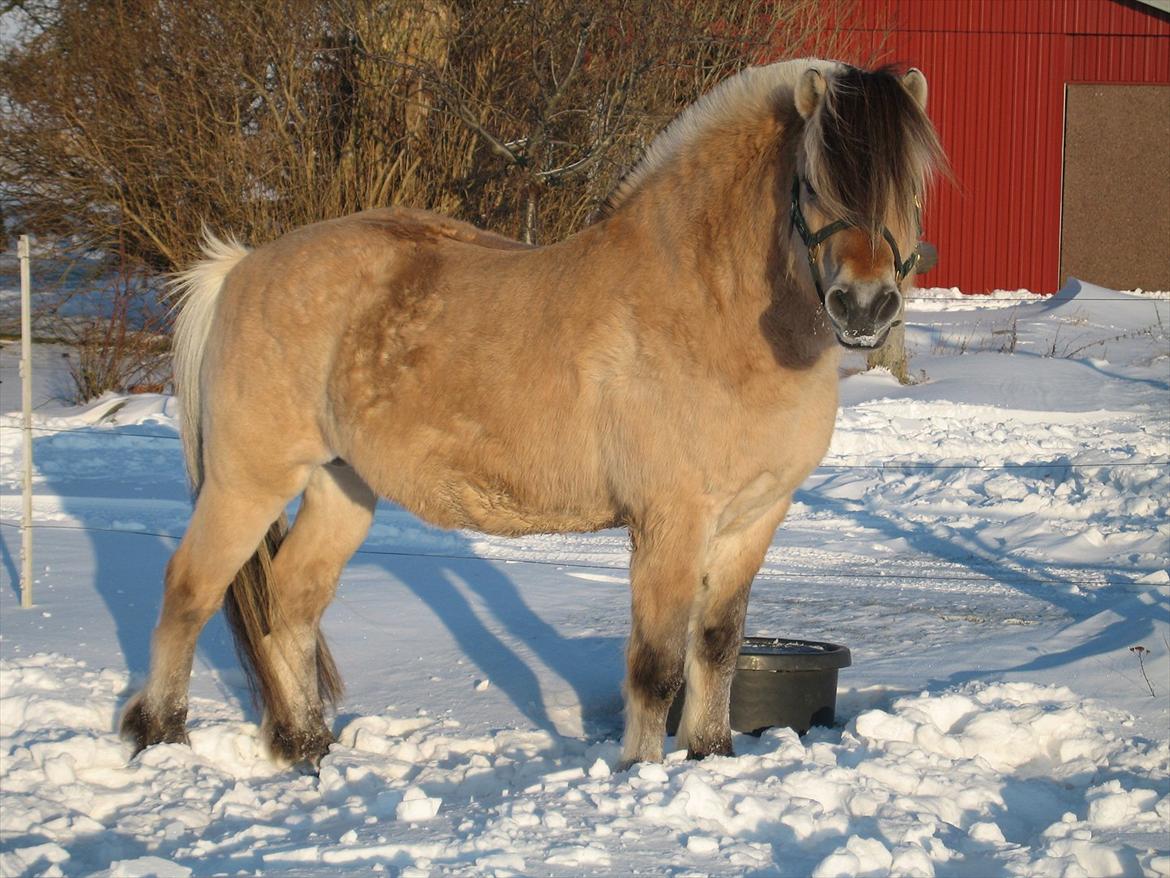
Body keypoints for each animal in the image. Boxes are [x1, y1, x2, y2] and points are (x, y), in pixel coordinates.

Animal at [121, 58, 940, 767]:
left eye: (913, 185)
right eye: (812, 182)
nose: (864, 307)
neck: (707, 308)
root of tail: (243, 268)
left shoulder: (753, 519)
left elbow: (716, 646)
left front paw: (710, 756)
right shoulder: (670, 523)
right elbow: (655, 666)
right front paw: (639, 772)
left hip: (341, 485)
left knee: (292, 601)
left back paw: (305, 746)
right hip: (250, 479)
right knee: (189, 590)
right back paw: (160, 735)